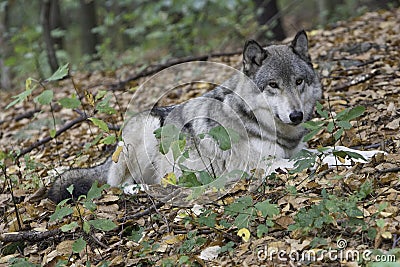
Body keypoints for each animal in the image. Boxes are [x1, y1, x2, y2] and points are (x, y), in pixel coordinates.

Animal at [48, 30, 322, 204]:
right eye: (273, 85)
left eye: (298, 81)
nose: (296, 115)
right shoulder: (260, 165)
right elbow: (302, 161)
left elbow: (322, 151)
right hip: (149, 128)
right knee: (120, 185)